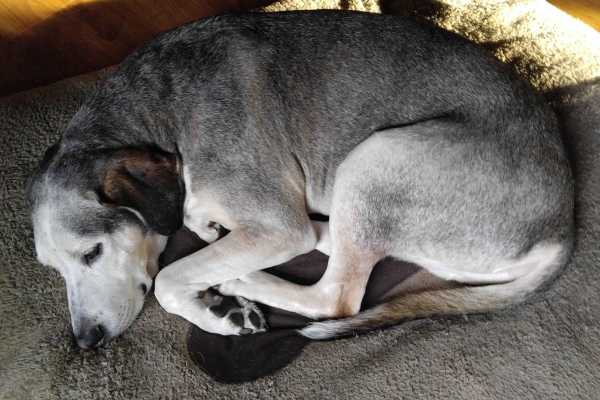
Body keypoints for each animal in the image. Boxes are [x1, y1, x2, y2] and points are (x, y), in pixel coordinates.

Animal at [27, 10, 572, 350]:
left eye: (92, 253)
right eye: (53, 269)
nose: (85, 342)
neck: (160, 116)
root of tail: (561, 231)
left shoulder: (276, 226)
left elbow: (167, 280)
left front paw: (219, 312)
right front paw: (207, 241)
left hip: (376, 159)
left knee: (335, 297)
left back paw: (243, 278)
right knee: (344, 247)